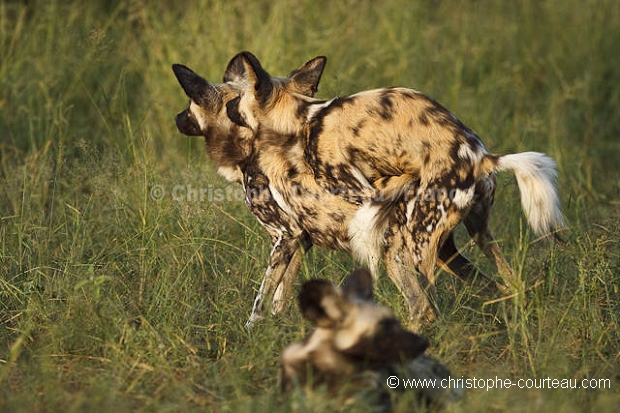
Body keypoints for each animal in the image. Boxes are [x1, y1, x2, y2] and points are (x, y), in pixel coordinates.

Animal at [171, 55, 498, 328]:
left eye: (188, 105)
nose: (175, 118)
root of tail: (481, 159)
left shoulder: (285, 236)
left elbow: (261, 301)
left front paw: (251, 333)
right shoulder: (299, 241)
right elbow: (279, 299)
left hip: (400, 254)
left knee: (423, 308)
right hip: (452, 249)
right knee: (497, 286)